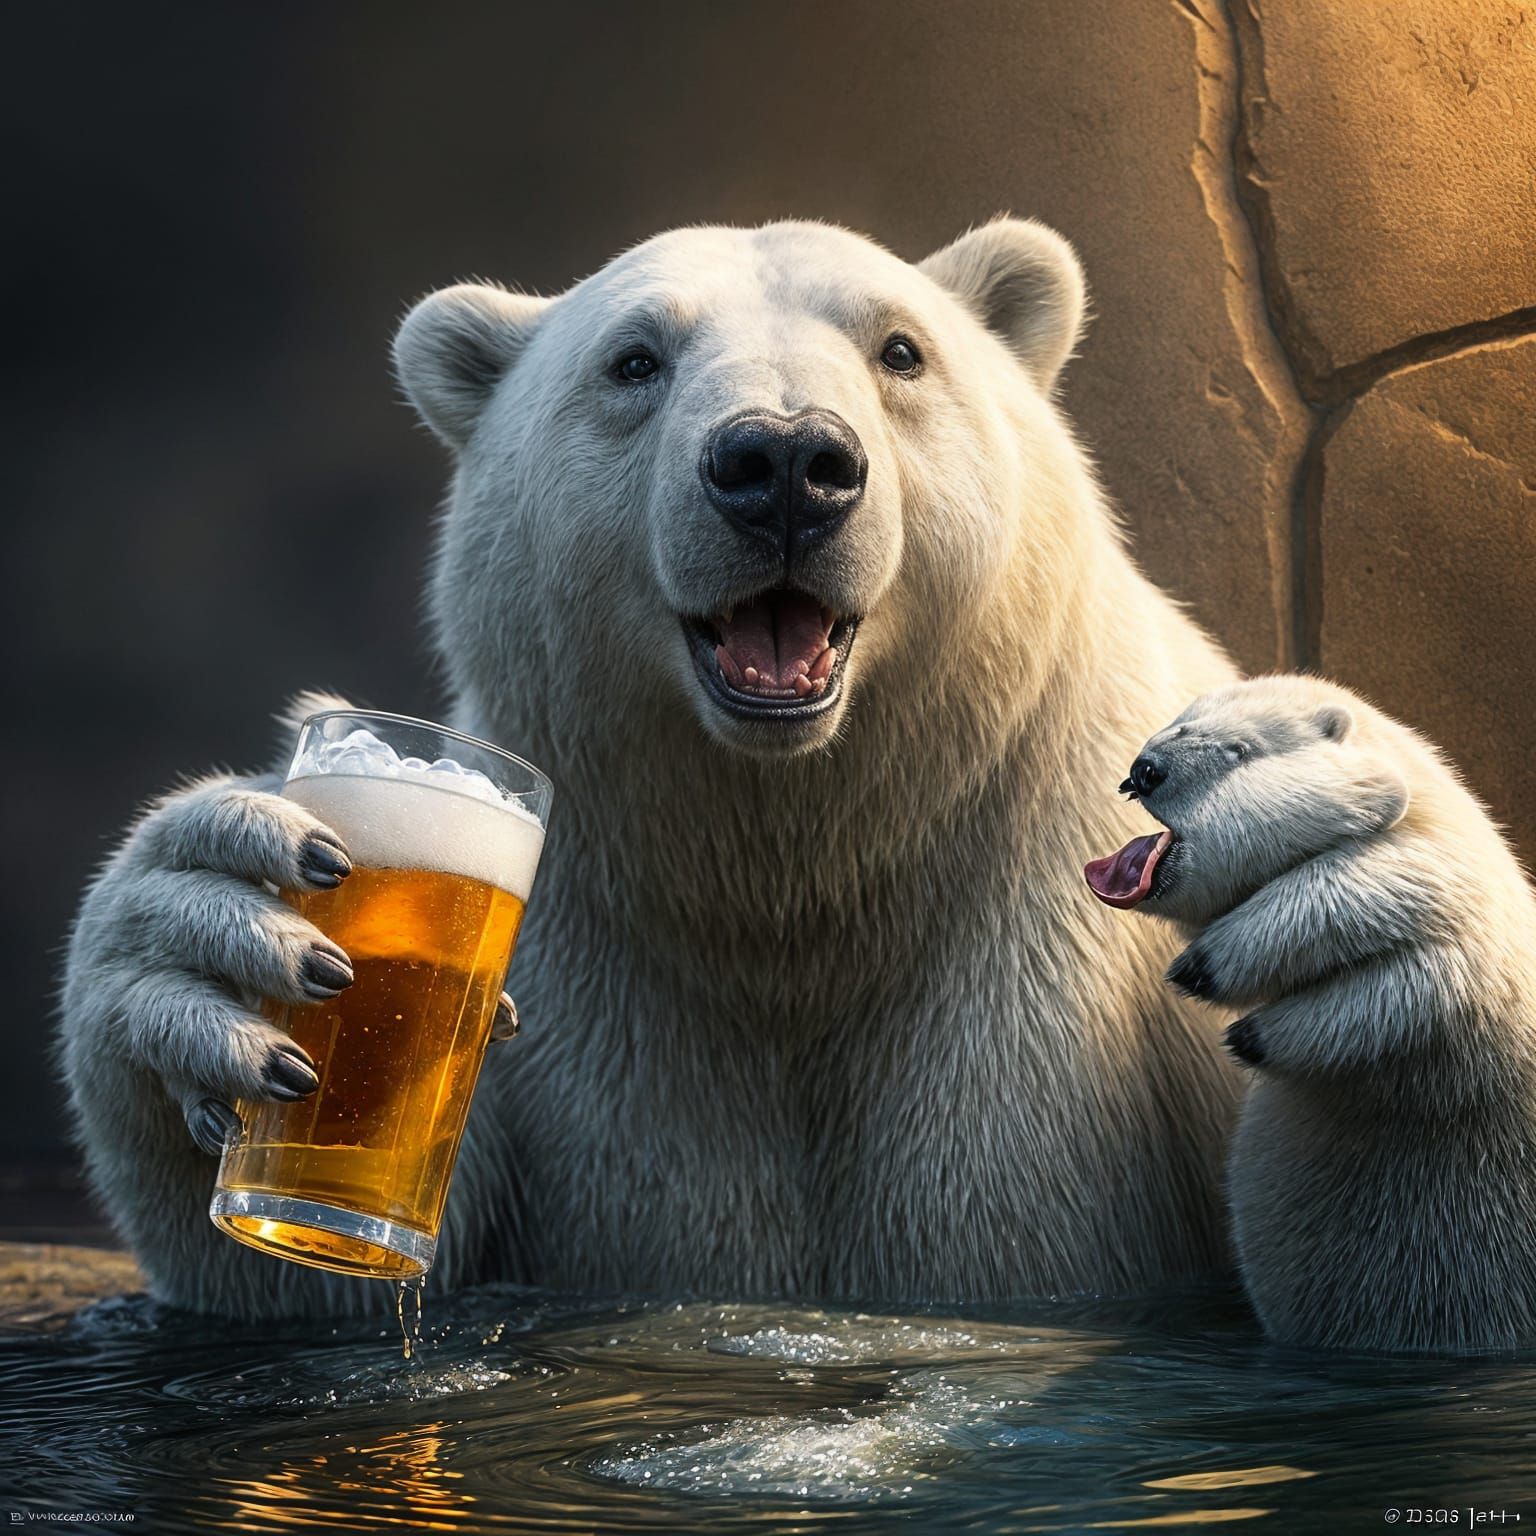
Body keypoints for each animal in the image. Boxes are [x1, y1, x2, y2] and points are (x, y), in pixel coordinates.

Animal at [59, 218, 1243, 1320]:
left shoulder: (1064, 975)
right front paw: (210, 940)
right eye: (634, 360)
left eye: (901, 349)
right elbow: (342, 1260)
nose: (784, 465)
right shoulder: (569, 990)